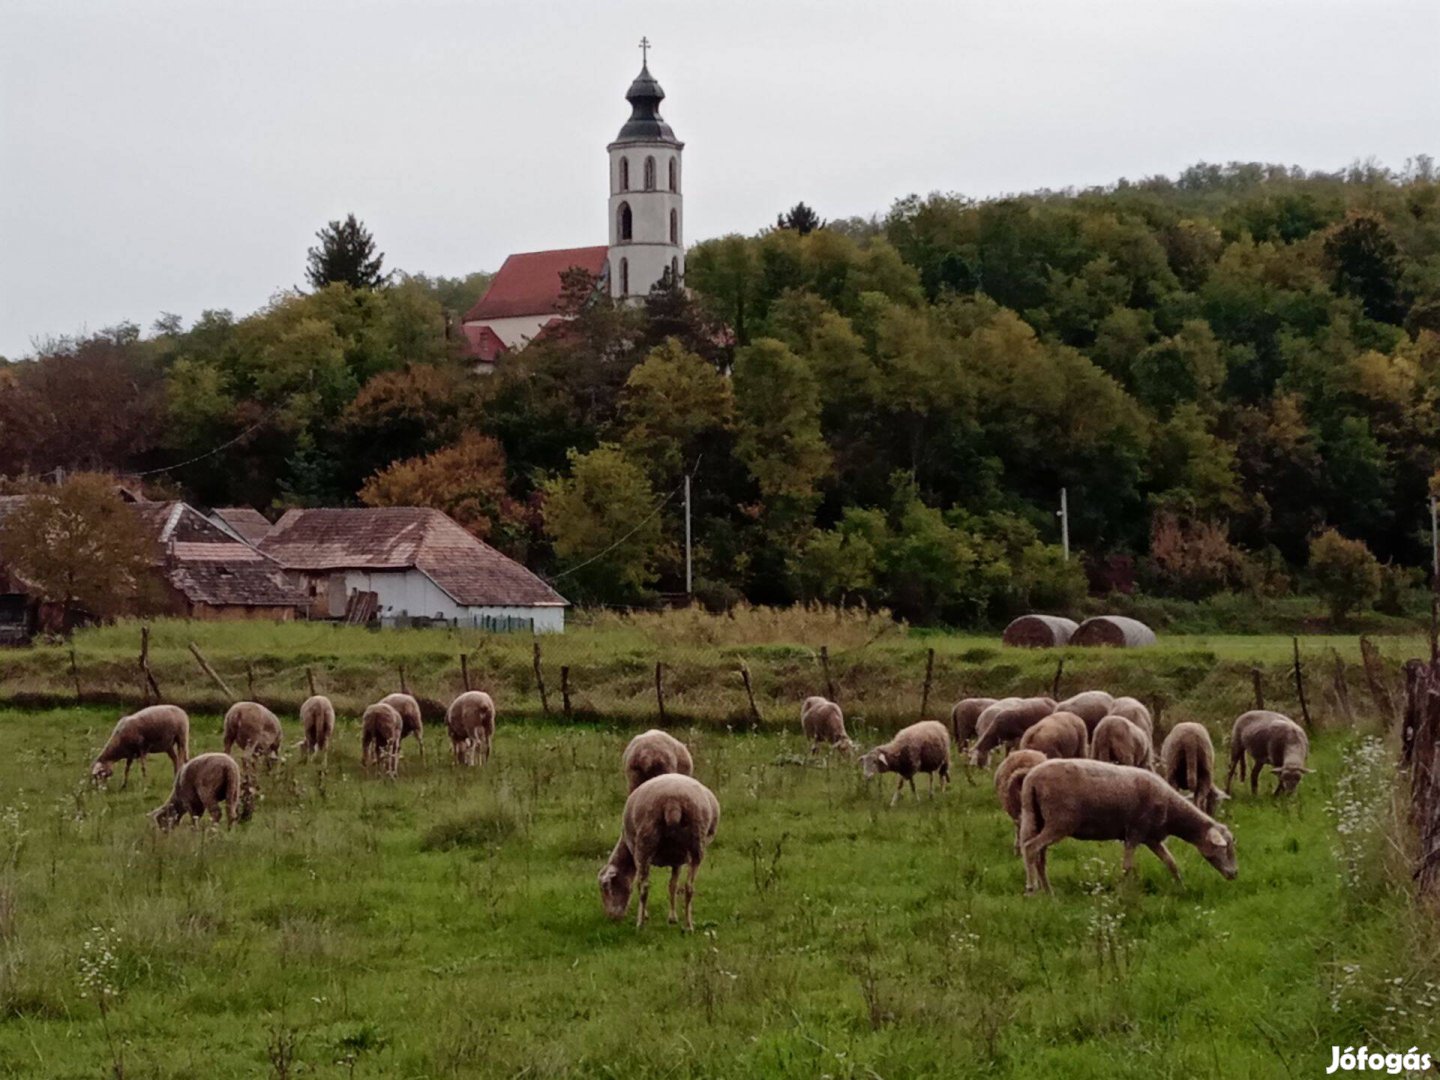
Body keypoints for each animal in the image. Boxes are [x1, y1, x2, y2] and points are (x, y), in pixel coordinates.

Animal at [599, 771, 720, 933]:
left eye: (605, 887)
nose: (612, 918)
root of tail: (673, 802)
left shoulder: (636, 852)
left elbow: (642, 884)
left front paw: (645, 915)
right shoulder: (678, 859)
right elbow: (672, 885)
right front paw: (673, 917)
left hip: (645, 840)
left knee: (643, 886)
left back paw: (640, 924)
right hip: (697, 841)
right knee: (689, 887)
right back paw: (688, 926)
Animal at [1013, 754, 1238, 892]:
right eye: (1224, 848)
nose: (1235, 874)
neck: (1171, 809)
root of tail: (1031, 779)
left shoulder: (1152, 837)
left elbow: (1170, 862)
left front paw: (1181, 886)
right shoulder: (1135, 832)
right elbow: (1127, 867)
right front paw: (1122, 893)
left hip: (1038, 817)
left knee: (1040, 855)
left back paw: (1049, 892)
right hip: (1059, 821)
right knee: (1031, 848)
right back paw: (1032, 889)